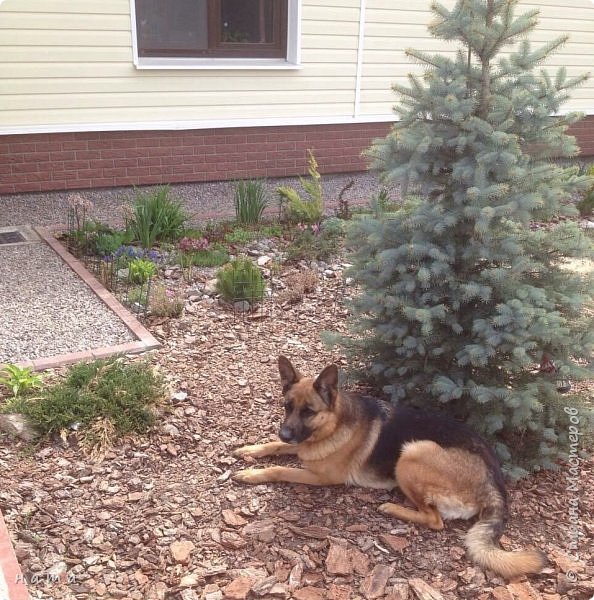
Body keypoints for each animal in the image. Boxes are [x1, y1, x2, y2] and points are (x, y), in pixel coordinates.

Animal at [232, 358, 544, 580]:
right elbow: (273, 446)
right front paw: (250, 450)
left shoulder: (320, 476)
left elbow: (278, 470)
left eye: (308, 411)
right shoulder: (300, 446)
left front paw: (251, 474)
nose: (285, 432)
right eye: (287, 407)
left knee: (434, 520)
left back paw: (393, 509)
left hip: (412, 453)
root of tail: (494, 480)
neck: (334, 423)